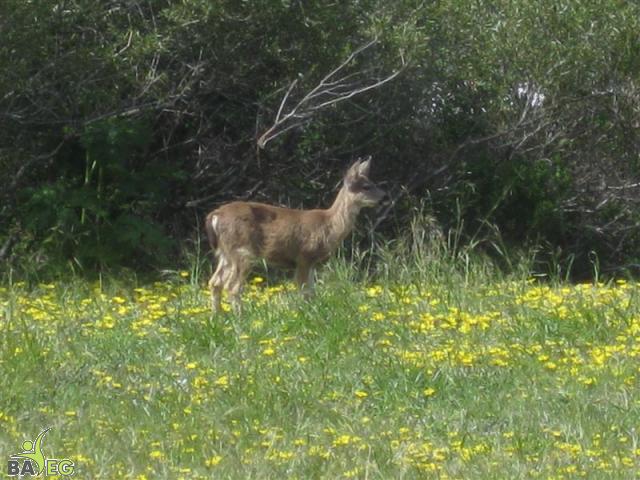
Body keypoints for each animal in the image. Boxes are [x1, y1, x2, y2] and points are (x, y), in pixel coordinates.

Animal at [204, 157, 384, 313]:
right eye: (366, 186)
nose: (383, 198)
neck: (330, 225)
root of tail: (215, 215)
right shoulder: (304, 255)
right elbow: (305, 291)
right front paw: (306, 314)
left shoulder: (311, 262)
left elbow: (311, 292)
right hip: (243, 251)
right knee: (232, 286)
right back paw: (239, 318)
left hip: (226, 253)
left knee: (215, 282)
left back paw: (218, 316)